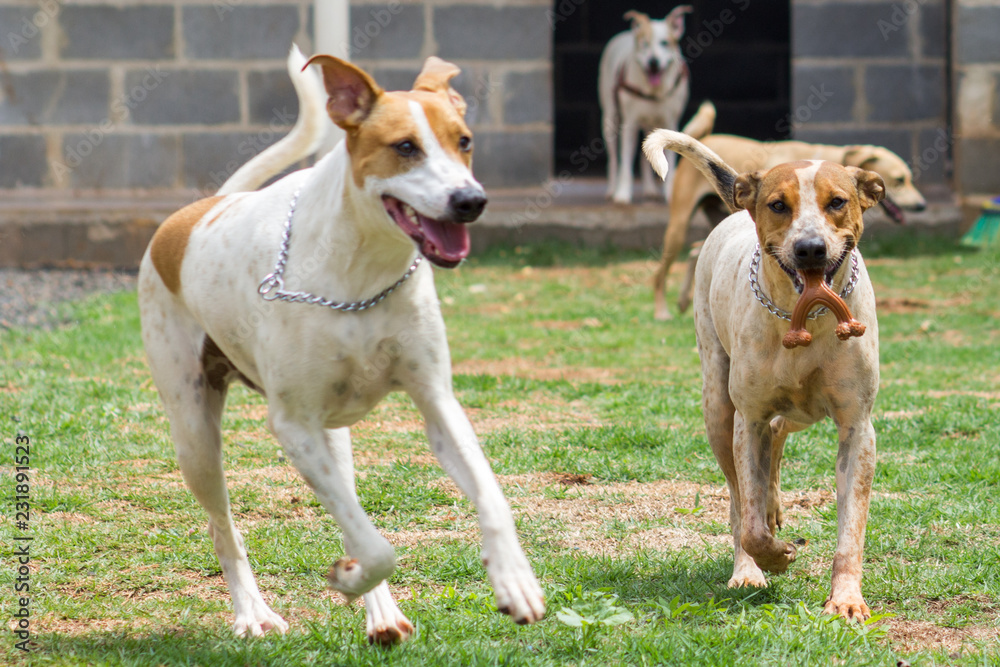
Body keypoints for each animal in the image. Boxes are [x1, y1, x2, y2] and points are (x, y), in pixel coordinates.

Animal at [136, 45, 544, 640]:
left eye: (464, 141)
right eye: (405, 147)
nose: (470, 200)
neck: (363, 273)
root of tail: (202, 210)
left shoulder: (436, 401)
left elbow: (491, 497)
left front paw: (515, 581)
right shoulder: (292, 425)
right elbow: (378, 546)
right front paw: (349, 580)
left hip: (333, 439)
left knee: (349, 511)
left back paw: (383, 614)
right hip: (194, 432)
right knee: (224, 527)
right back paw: (253, 612)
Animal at [596, 5, 692, 204]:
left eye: (664, 43)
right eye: (644, 44)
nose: (653, 62)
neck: (653, 92)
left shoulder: (670, 123)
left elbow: (669, 160)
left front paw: (669, 194)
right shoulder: (629, 125)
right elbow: (625, 162)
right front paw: (622, 194)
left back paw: (649, 189)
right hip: (610, 120)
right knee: (614, 159)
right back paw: (612, 188)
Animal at [640, 129, 884, 620]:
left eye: (837, 201)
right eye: (778, 205)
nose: (810, 248)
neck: (804, 319)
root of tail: (737, 207)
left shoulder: (857, 427)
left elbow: (851, 527)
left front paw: (847, 599)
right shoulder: (747, 419)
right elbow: (749, 519)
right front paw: (773, 557)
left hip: (799, 412)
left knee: (779, 436)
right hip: (718, 406)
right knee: (740, 497)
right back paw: (748, 563)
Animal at [652, 103, 924, 322]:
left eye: (909, 178)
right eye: (900, 180)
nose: (922, 205)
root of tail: (706, 136)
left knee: (695, 249)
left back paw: (684, 300)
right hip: (678, 226)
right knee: (662, 271)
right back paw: (662, 311)